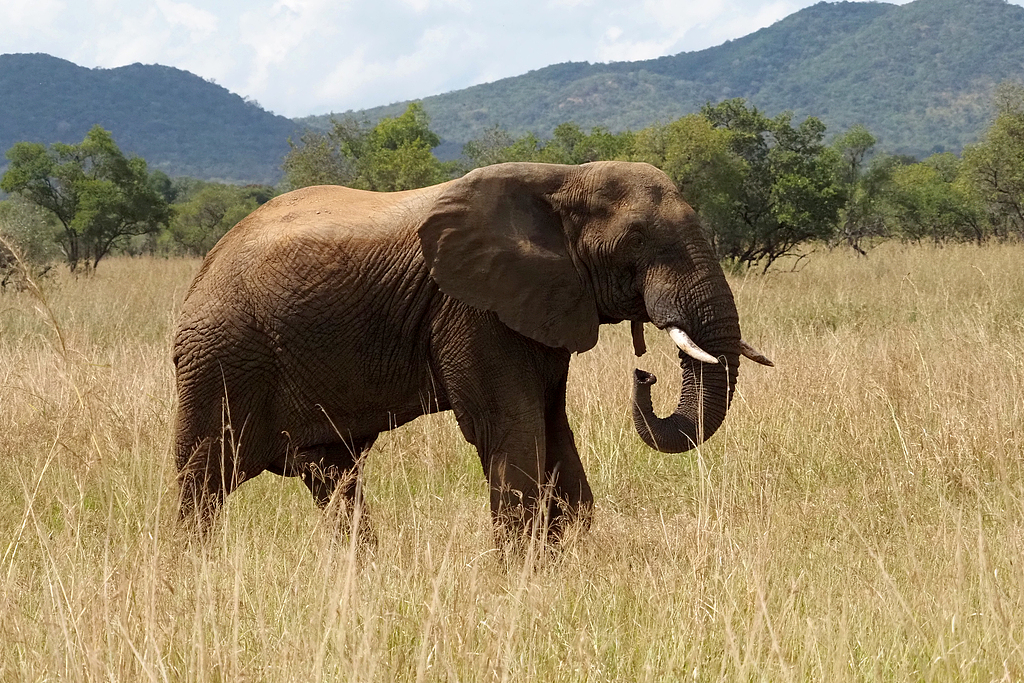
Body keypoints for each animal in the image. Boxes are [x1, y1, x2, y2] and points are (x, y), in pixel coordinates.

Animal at [172, 161, 771, 547]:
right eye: (638, 241)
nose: (644, 376)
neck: (563, 178)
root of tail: (203, 269)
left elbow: (551, 422)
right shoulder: (470, 309)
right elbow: (507, 422)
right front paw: (521, 571)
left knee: (330, 473)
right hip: (221, 357)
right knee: (203, 482)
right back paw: (191, 573)